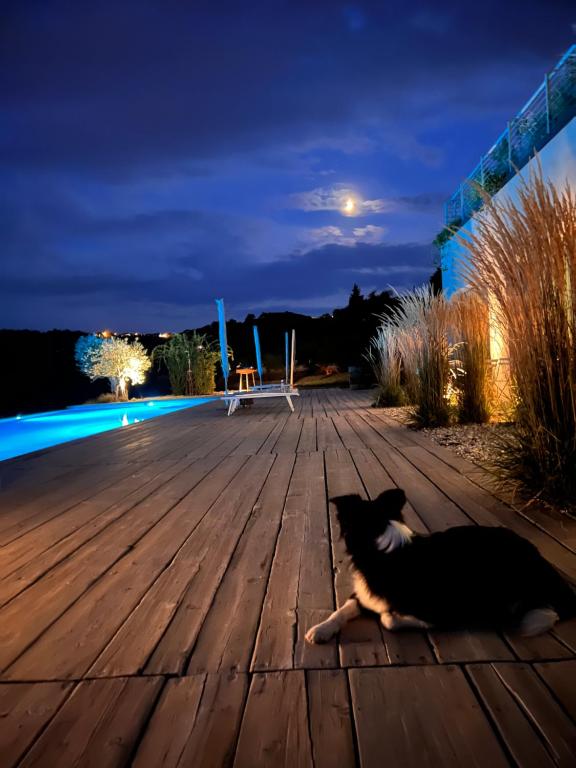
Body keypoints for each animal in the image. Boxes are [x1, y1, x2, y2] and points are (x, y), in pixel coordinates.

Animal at [305, 488, 576, 644]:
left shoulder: (444, 610)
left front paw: (393, 615)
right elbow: (341, 610)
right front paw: (321, 629)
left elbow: (388, 619)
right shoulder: (363, 596)